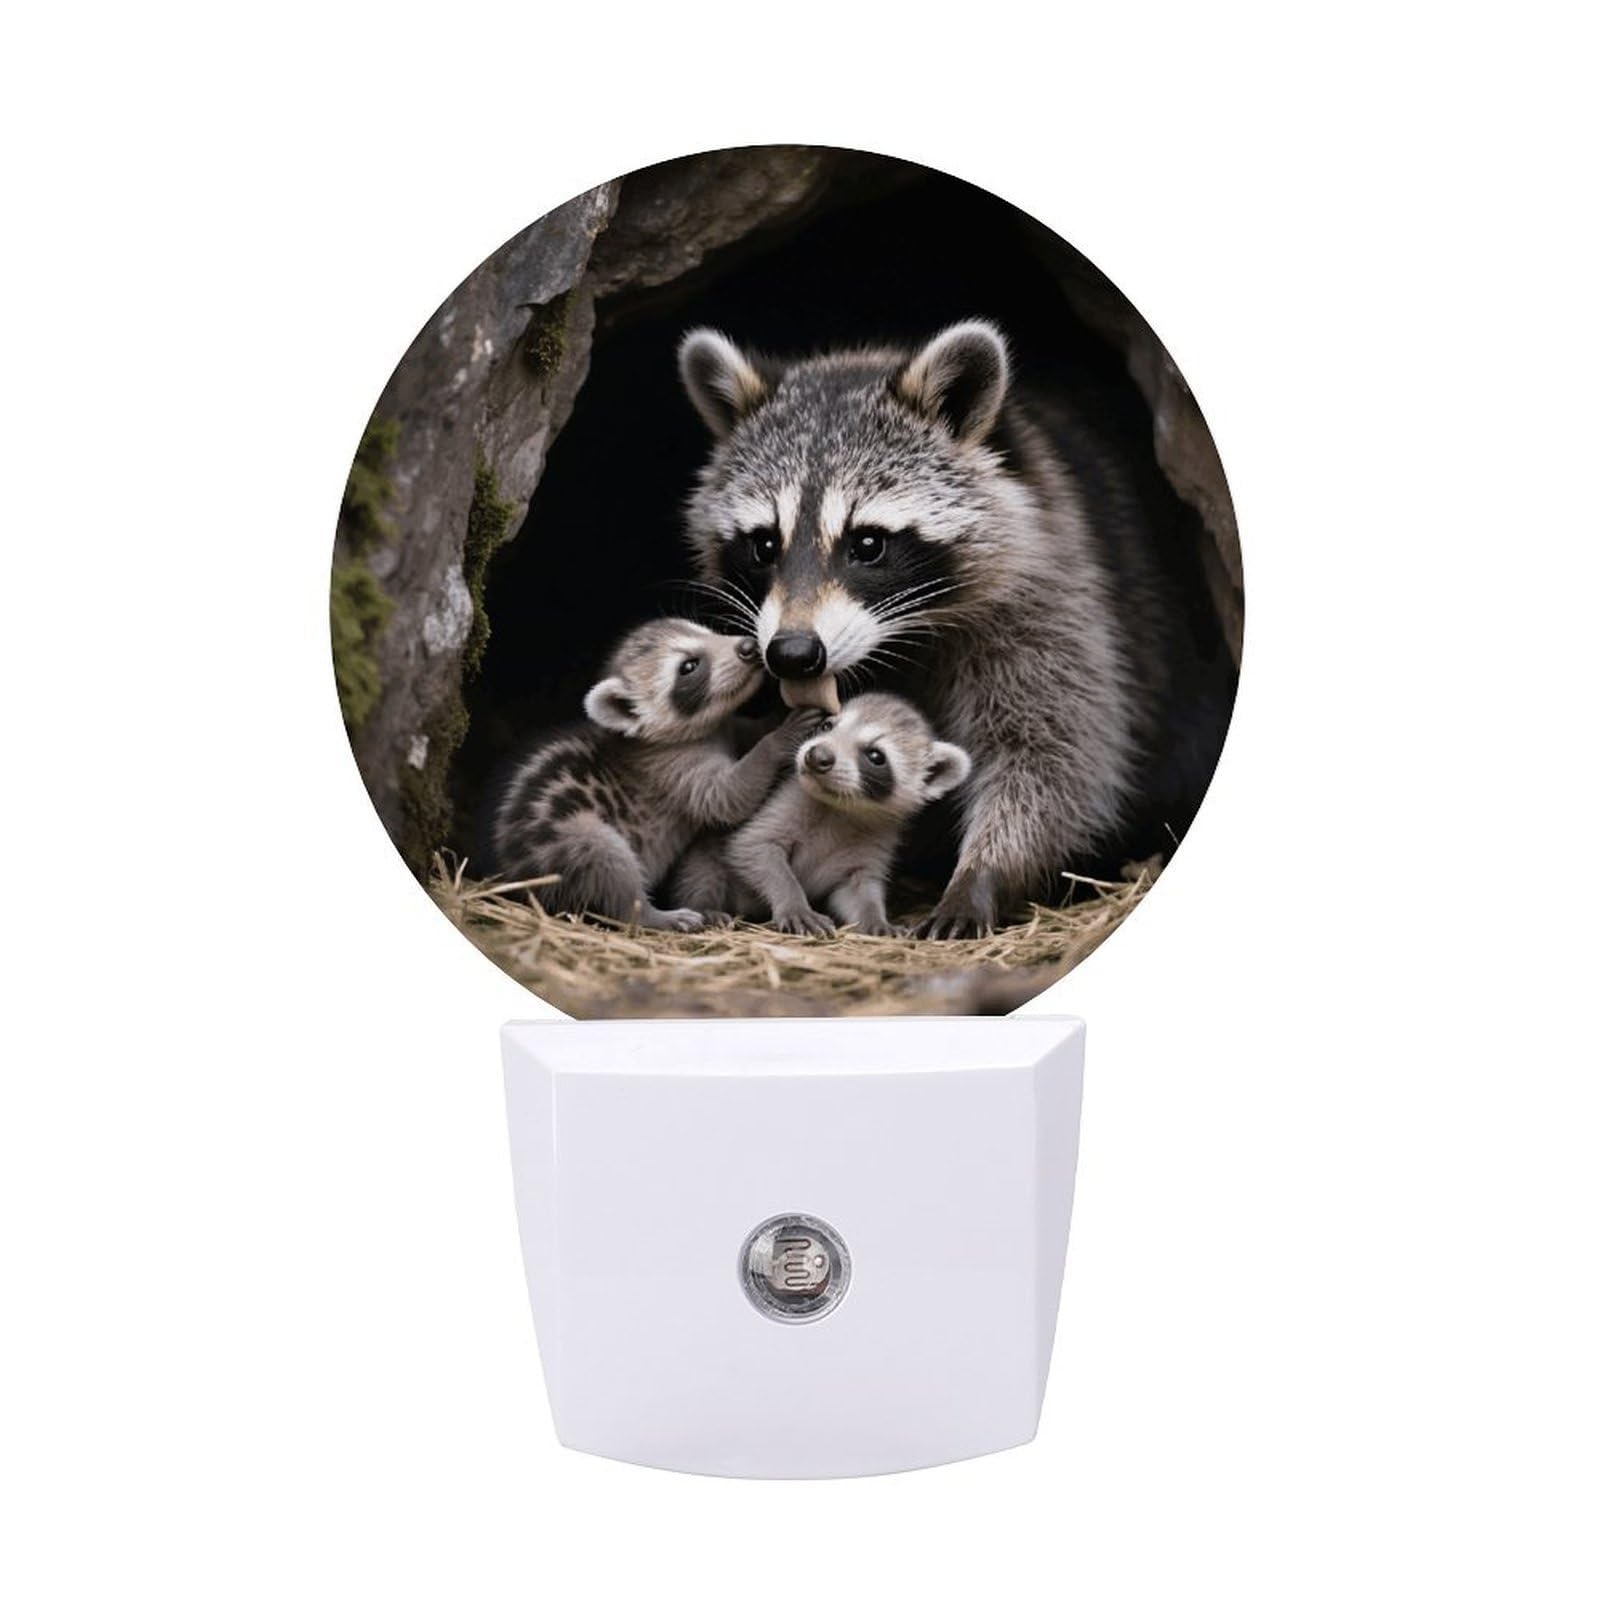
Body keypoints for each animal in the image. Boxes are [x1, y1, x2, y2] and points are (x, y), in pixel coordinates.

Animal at [491, 618, 816, 931]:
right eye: (689, 666)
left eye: (707, 630)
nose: (749, 646)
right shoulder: (672, 770)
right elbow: (727, 798)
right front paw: (776, 740)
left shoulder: (723, 730)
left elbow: (743, 734)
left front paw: (769, 722)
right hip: (562, 844)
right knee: (606, 858)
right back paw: (650, 915)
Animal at [675, 693, 971, 937]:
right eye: (827, 726)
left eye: (875, 756)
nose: (817, 755)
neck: (841, 809)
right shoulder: (786, 800)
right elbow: (753, 847)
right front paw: (793, 902)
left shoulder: (875, 839)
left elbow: (858, 889)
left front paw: (876, 918)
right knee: (702, 872)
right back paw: (704, 906)